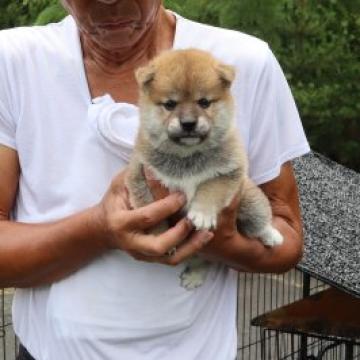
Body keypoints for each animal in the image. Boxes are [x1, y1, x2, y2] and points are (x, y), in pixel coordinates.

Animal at [126, 49, 284, 290]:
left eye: (204, 102)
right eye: (170, 104)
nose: (188, 123)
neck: (187, 157)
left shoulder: (228, 172)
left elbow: (210, 189)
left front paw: (201, 214)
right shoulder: (140, 175)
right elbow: (150, 210)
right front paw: (159, 236)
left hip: (249, 201)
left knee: (257, 223)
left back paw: (271, 236)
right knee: (203, 261)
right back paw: (194, 276)